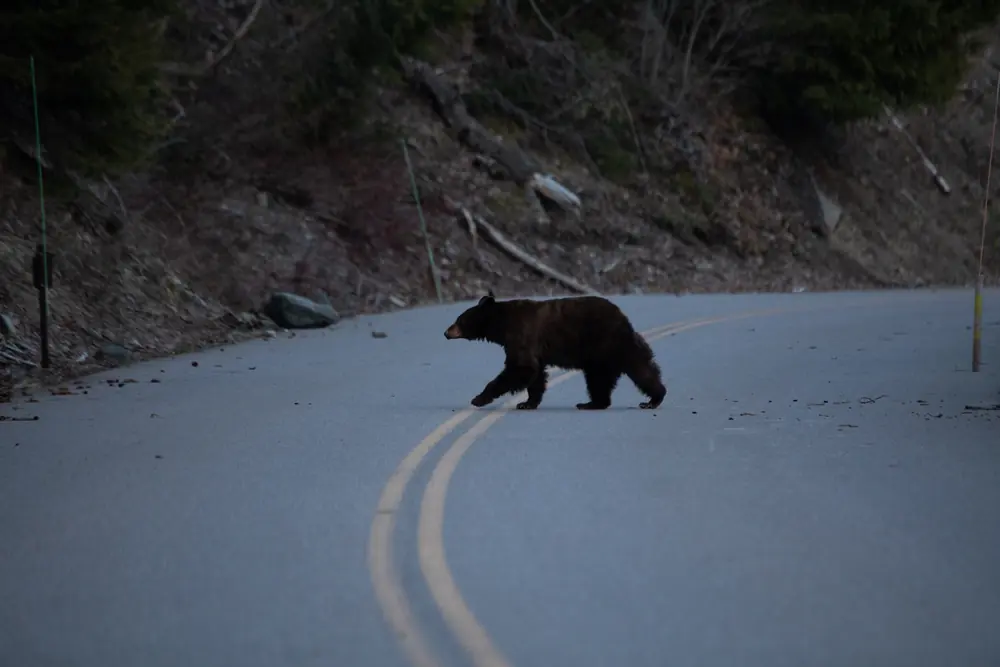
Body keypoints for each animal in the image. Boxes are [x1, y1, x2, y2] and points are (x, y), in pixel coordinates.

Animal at [443, 290, 667, 410]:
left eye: (459, 320)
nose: (445, 332)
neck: (502, 323)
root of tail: (624, 320)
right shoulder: (534, 349)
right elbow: (536, 374)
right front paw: (527, 403)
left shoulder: (521, 334)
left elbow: (520, 368)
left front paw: (478, 398)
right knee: (638, 368)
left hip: (604, 345)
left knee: (612, 375)